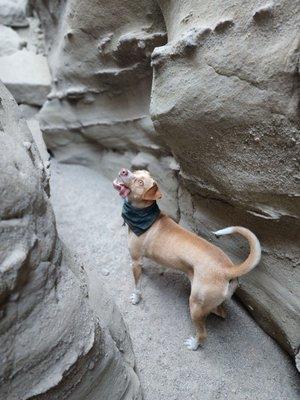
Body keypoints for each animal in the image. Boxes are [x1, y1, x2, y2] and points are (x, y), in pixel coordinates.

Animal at [112, 167, 260, 348]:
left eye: (140, 182)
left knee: (203, 333)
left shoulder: (134, 260)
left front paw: (136, 297)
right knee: (220, 311)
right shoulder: (142, 259)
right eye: (136, 171)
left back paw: (194, 344)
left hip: (194, 306)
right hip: (207, 302)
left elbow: (137, 285)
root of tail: (228, 269)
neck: (144, 217)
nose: (123, 171)